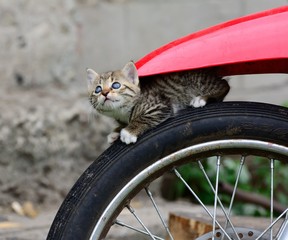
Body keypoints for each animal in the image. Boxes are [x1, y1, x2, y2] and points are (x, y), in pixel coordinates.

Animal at [86, 62, 231, 144]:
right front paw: (116, 131)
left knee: (224, 85)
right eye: (98, 89)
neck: (122, 112)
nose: (105, 93)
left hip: (197, 80)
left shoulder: (159, 105)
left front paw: (129, 131)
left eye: (116, 85)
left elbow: (144, 116)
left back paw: (202, 98)